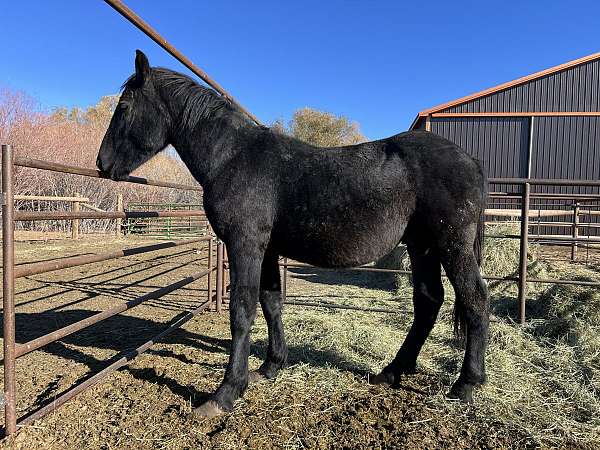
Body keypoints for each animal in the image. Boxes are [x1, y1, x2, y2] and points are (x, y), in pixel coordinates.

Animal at [98, 51, 490, 416]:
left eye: (124, 106)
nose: (102, 165)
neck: (233, 157)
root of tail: (470, 160)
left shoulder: (245, 245)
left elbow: (242, 309)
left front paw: (226, 393)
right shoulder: (268, 249)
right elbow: (271, 302)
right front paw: (271, 366)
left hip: (451, 245)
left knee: (474, 300)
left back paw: (465, 385)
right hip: (422, 247)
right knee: (428, 301)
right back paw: (392, 372)